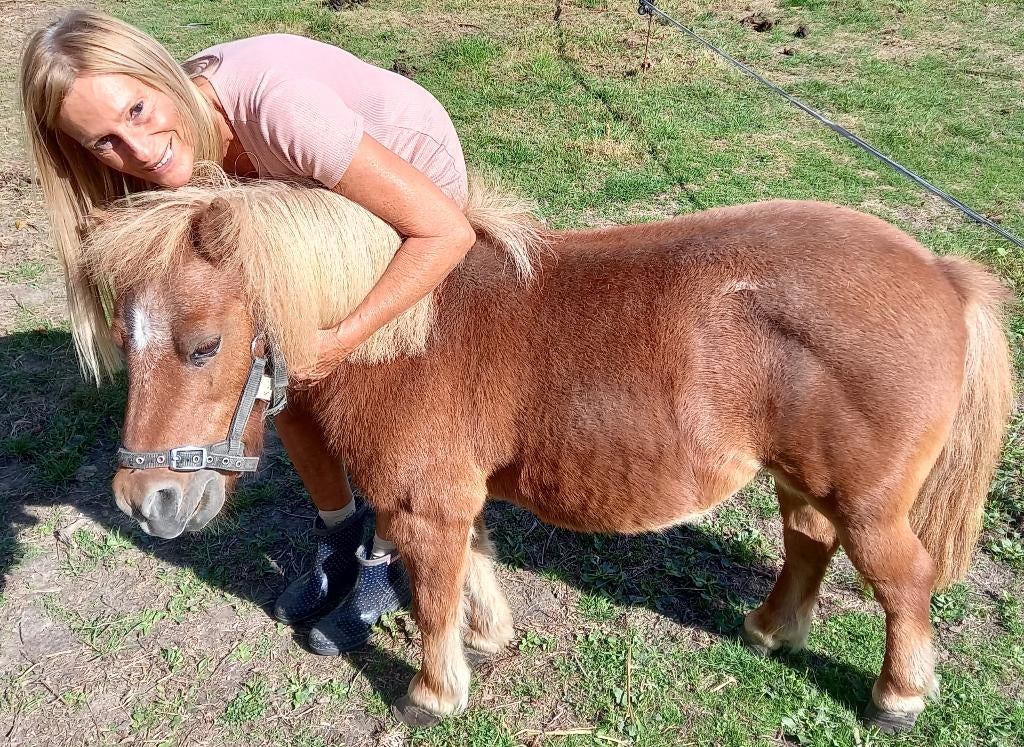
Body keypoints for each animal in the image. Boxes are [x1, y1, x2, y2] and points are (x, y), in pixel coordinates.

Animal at [81, 166, 1014, 732]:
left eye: (203, 346)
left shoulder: (424, 506)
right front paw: (489, 641)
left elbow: (435, 598)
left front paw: (433, 693)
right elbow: (474, 569)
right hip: (802, 480)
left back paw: (898, 696)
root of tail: (940, 272)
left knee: (904, 581)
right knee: (807, 545)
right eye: (124, 337)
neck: (402, 331)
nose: (148, 501)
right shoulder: (455, 498)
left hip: (867, 501)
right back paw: (768, 629)